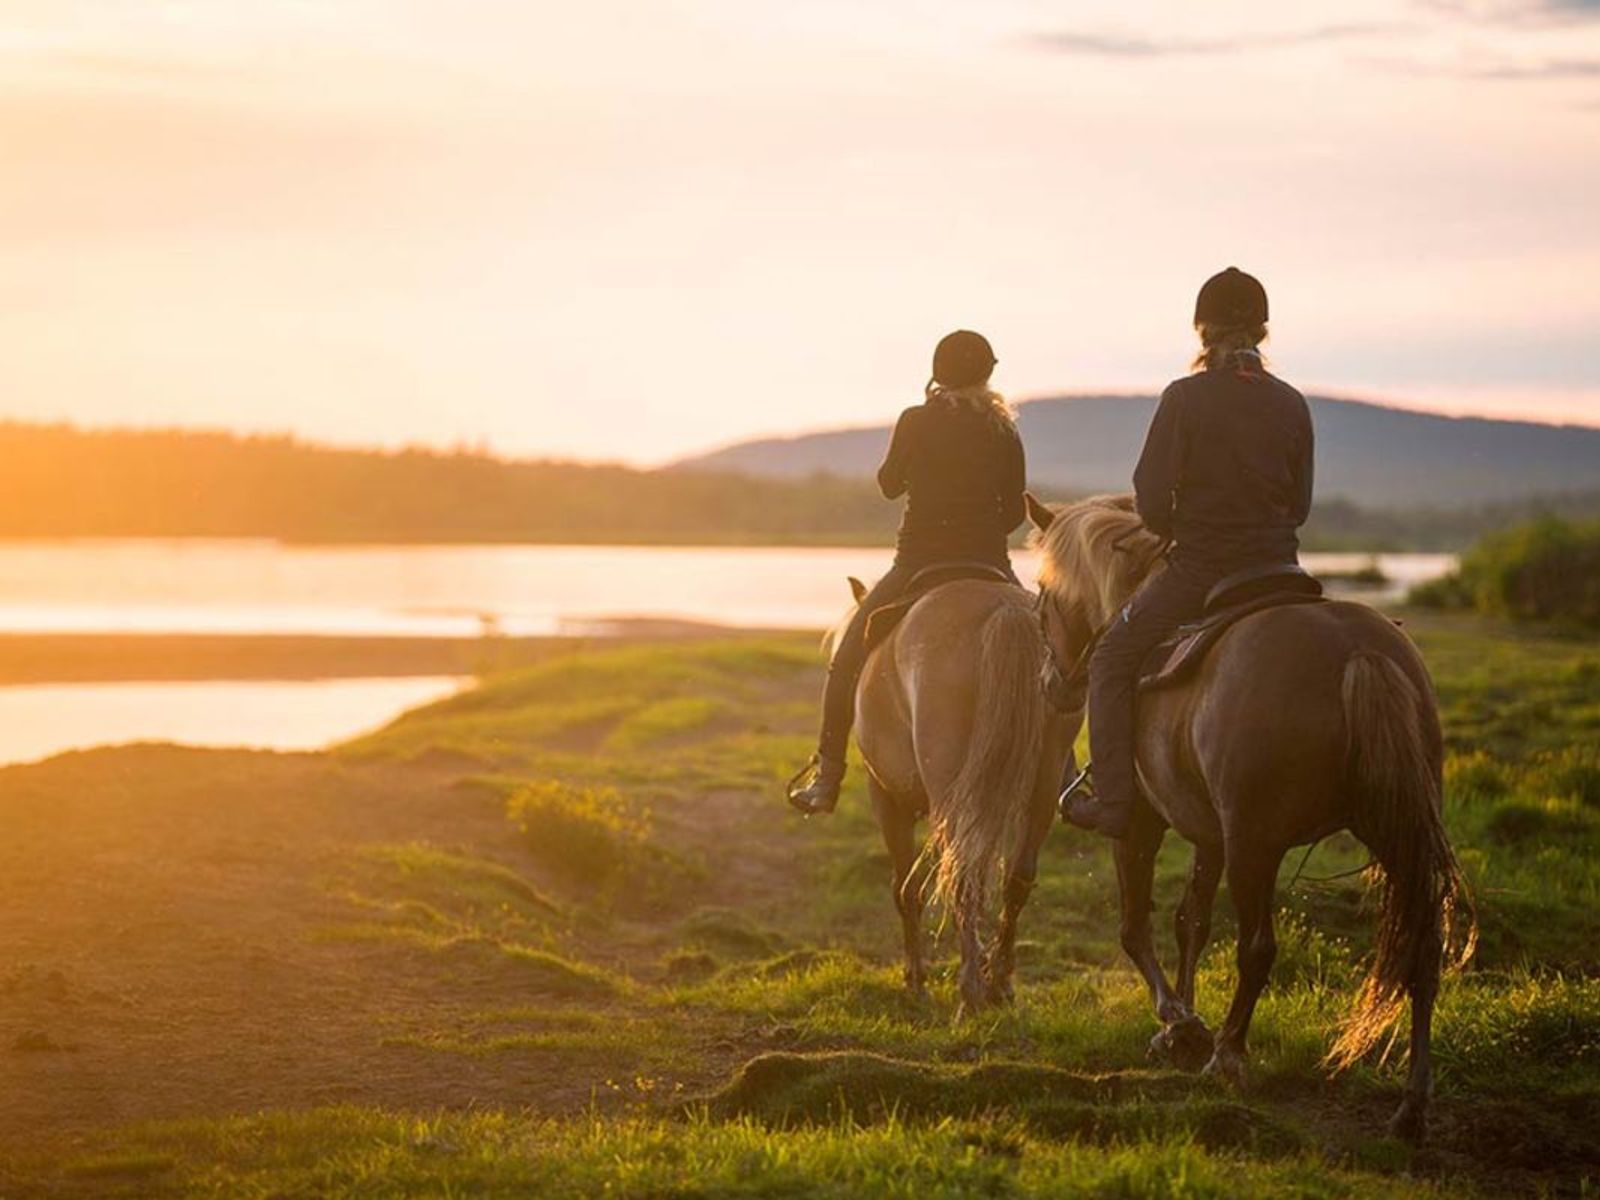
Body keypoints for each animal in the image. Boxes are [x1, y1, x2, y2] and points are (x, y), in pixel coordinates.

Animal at [1024, 492, 1472, 1139]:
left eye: (1043, 593)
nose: (1051, 685)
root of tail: (1357, 652)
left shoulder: (1143, 822)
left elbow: (1135, 928)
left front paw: (1180, 1023)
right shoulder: (1210, 834)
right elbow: (1191, 922)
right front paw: (1179, 1029)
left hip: (1255, 846)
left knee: (1258, 947)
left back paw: (1229, 1054)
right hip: (1394, 834)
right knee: (1422, 946)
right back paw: (1412, 1104)